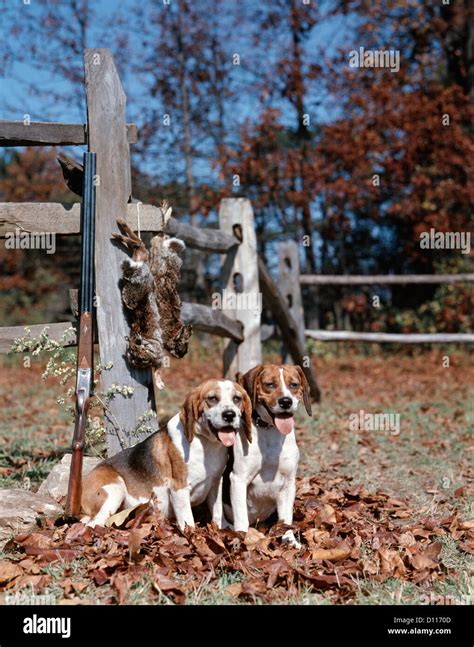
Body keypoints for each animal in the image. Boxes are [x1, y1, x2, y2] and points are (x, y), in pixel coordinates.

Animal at [81, 380, 252, 532]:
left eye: (237, 398)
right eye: (212, 398)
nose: (229, 415)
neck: (206, 443)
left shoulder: (215, 483)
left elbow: (217, 510)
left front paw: (224, 528)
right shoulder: (179, 489)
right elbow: (187, 520)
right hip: (115, 491)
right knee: (93, 523)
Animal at [228, 364, 312, 548]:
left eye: (294, 385)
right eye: (270, 385)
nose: (286, 402)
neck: (270, 431)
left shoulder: (288, 483)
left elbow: (285, 521)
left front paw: (290, 542)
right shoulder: (238, 479)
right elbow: (241, 519)